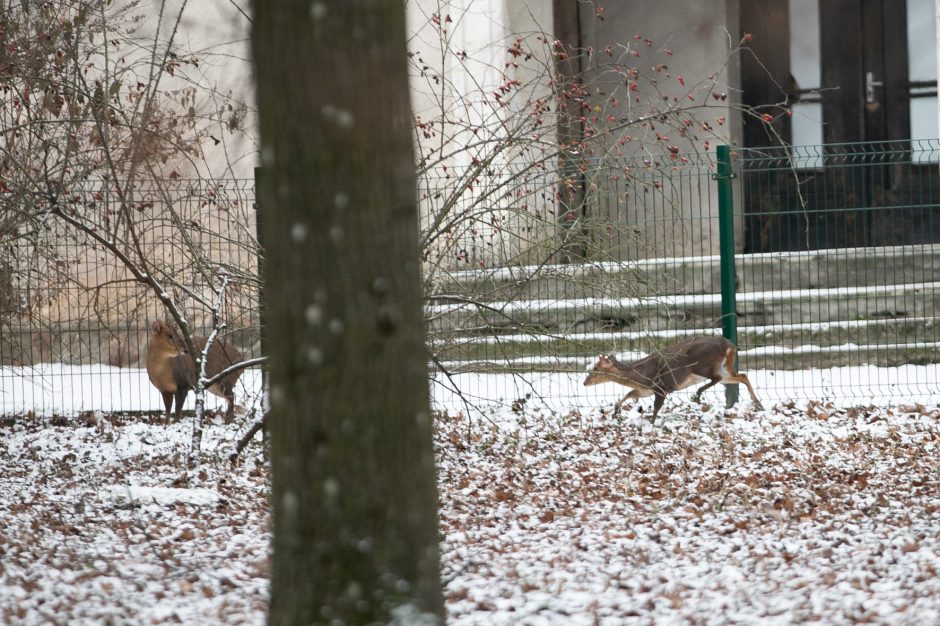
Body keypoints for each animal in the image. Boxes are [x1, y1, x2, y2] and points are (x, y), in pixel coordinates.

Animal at [588, 336, 764, 420]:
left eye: (595, 369)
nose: (584, 382)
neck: (641, 374)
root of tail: (731, 346)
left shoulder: (661, 386)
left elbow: (656, 408)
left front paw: (651, 423)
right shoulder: (646, 389)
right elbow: (630, 394)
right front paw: (615, 411)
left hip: (700, 365)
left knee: (717, 377)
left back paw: (698, 394)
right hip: (724, 366)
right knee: (742, 376)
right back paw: (759, 405)